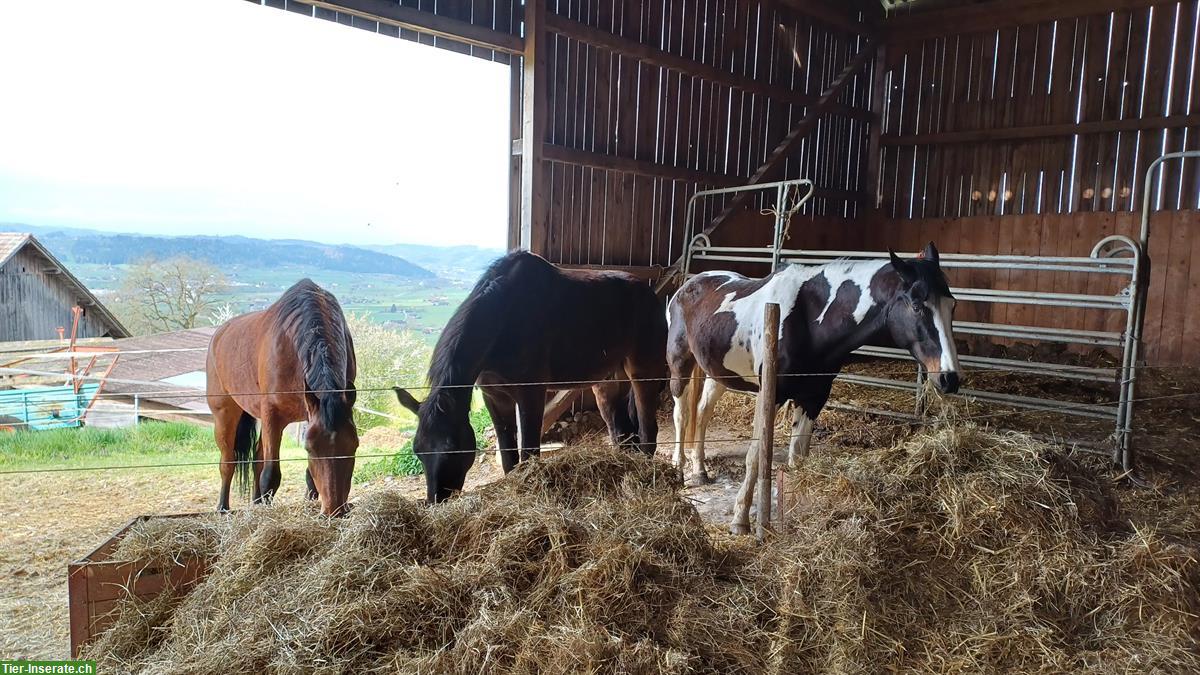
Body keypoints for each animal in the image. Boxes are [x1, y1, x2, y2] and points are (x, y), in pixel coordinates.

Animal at [206, 278, 357, 514]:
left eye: (354, 445)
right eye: (309, 448)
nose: (335, 510)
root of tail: (218, 335)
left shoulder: (311, 412)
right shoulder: (272, 414)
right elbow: (270, 475)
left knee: (257, 458)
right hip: (225, 414)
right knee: (228, 462)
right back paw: (223, 508)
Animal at [393, 249, 667, 502]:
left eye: (452, 448)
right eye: (418, 449)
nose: (436, 500)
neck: (504, 318)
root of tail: (652, 297)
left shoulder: (531, 395)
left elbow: (529, 454)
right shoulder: (495, 398)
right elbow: (508, 458)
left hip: (643, 374)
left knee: (647, 433)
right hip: (608, 383)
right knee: (622, 434)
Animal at [672, 240, 960, 530]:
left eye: (952, 305)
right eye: (917, 306)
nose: (950, 378)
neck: (807, 318)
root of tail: (688, 284)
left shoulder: (814, 397)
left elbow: (798, 456)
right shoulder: (771, 394)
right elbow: (755, 455)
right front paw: (740, 520)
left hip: (719, 374)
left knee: (702, 412)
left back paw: (699, 471)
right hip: (680, 365)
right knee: (682, 414)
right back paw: (679, 468)